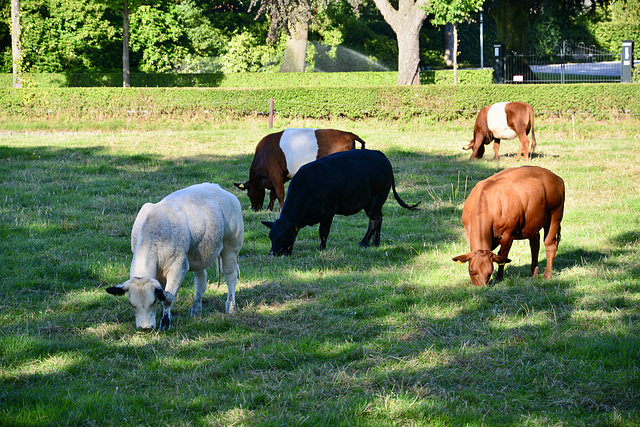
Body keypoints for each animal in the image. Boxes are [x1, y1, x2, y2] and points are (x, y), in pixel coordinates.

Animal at [105, 183, 245, 332]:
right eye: (131, 304)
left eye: (152, 302)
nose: (145, 328)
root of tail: (217, 187)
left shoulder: (178, 267)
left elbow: (167, 298)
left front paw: (165, 323)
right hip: (198, 255)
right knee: (201, 280)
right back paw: (196, 310)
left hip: (231, 246)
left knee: (231, 276)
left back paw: (231, 308)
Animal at [234, 129, 364, 212]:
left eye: (248, 194)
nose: (256, 209)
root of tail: (348, 134)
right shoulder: (280, 176)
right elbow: (273, 195)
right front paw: (269, 210)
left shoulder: (275, 174)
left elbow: (279, 194)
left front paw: (280, 210)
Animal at [262, 150, 420, 256]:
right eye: (270, 237)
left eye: (282, 237)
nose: (272, 254)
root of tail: (378, 153)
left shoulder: (328, 212)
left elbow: (323, 232)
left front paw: (322, 249)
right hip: (375, 203)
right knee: (379, 219)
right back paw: (375, 243)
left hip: (375, 200)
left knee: (374, 221)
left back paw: (363, 243)